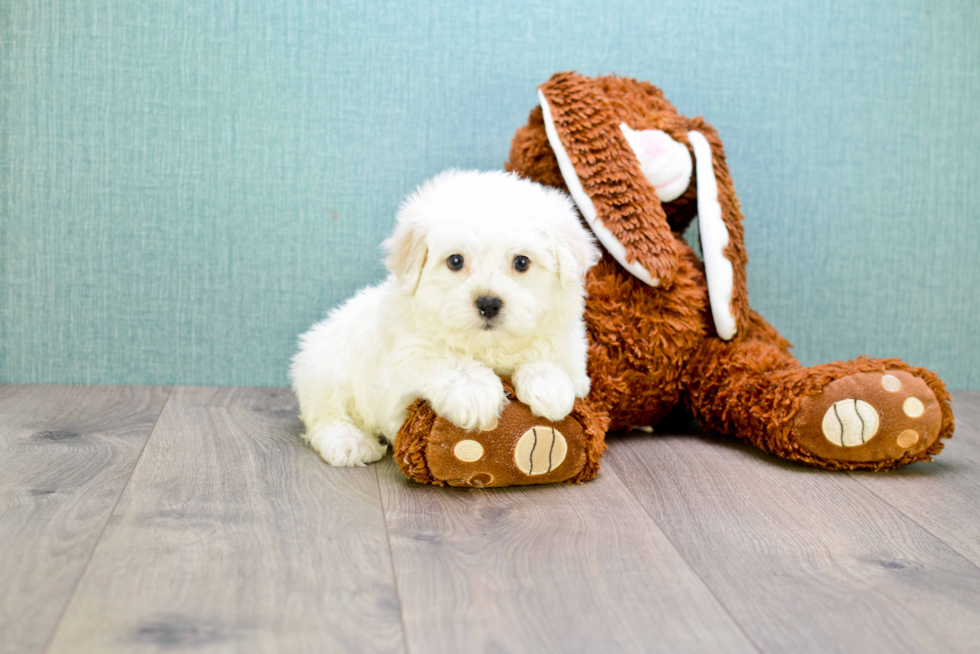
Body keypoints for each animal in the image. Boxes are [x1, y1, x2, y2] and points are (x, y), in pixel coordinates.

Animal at [288, 169, 600, 466]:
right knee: (326, 416)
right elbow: (439, 359)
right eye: (455, 261)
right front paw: (475, 391)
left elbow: (549, 359)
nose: (488, 303)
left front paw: (549, 386)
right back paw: (350, 443)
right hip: (328, 371)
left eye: (521, 262)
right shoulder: (399, 371)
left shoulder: (570, 352)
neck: (489, 348)